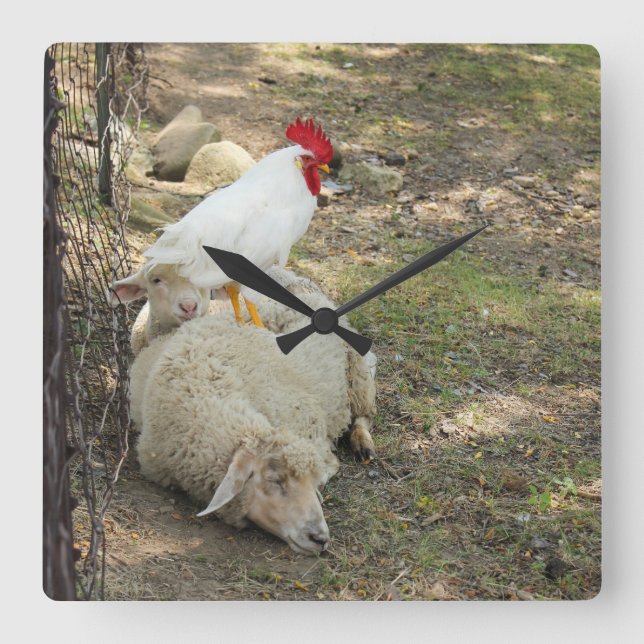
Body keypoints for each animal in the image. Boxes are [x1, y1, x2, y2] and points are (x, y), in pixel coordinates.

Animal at [130, 307, 375, 554]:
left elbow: (330, 463)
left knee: (364, 412)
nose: (320, 538)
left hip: (356, 375)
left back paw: (363, 444)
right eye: (274, 480)